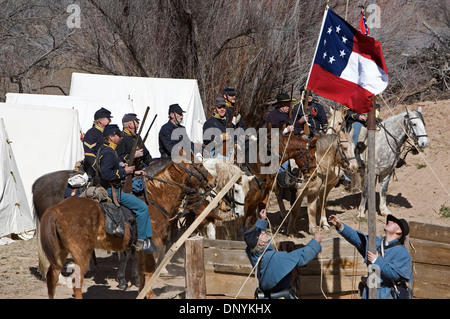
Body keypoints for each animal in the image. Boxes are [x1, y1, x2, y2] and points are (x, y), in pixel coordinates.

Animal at [37, 160, 215, 300]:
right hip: (81, 254)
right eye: (199, 165)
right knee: (76, 282)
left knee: (53, 277)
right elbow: (150, 271)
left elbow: (142, 271)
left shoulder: (140, 249)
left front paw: (142, 292)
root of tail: (56, 210)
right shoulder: (153, 245)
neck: (155, 198)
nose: (213, 182)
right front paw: (149, 293)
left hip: (60, 252)